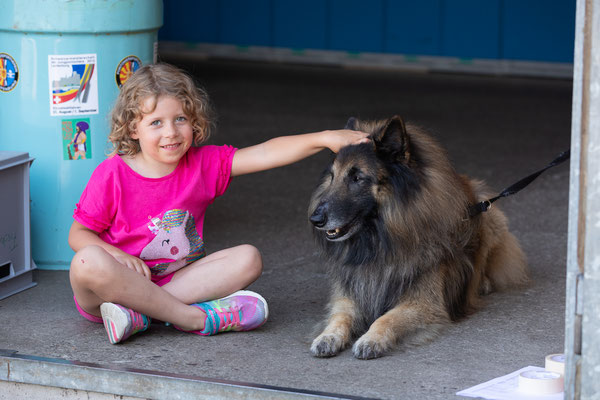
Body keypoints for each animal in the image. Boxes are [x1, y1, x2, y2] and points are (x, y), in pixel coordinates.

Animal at [308, 115, 528, 360]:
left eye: (357, 178)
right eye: (332, 177)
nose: (315, 219)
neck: (381, 242)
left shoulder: (422, 304)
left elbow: (385, 318)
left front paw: (371, 339)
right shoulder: (349, 295)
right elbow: (340, 316)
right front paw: (328, 336)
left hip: (490, 216)